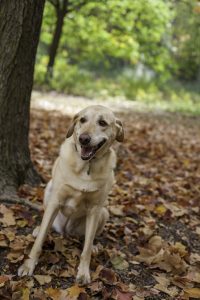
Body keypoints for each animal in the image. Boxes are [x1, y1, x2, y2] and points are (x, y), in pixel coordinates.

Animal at [18, 105, 123, 284]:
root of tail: (65, 231)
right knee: (46, 225)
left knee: (87, 237)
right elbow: (39, 242)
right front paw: (29, 265)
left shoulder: (95, 209)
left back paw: (94, 245)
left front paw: (83, 272)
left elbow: (86, 249)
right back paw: (39, 229)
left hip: (103, 212)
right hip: (49, 190)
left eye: (102, 122)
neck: (86, 165)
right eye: (82, 120)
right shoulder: (55, 201)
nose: (83, 139)